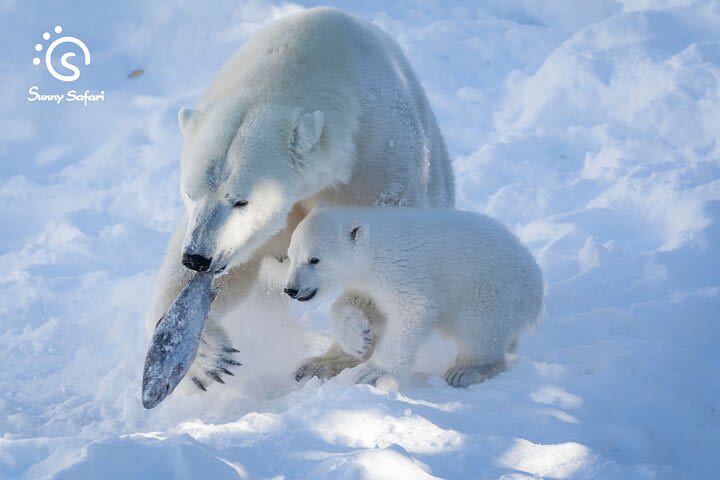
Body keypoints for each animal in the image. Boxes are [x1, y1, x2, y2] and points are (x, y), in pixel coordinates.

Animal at [143, 7, 452, 390]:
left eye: (241, 201)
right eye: (190, 192)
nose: (198, 258)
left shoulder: (376, 160)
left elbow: (379, 250)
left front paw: (353, 331)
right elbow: (234, 267)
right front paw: (205, 356)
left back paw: (323, 363)